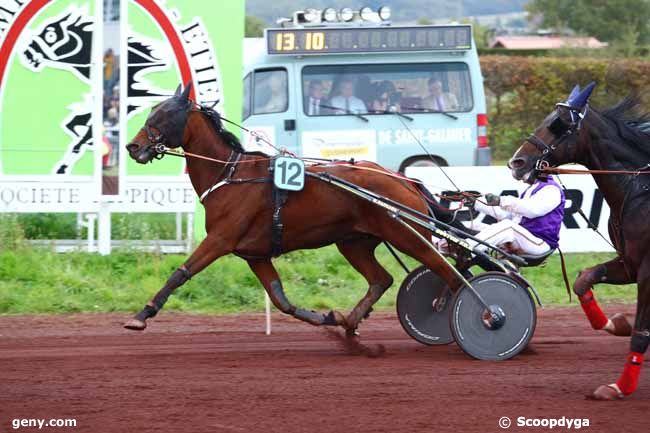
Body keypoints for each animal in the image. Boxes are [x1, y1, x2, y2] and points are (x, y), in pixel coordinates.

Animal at [124, 82, 464, 338]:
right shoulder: (255, 254)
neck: (230, 175)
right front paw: (326, 318)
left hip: (407, 237)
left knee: (449, 272)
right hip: (353, 242)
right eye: (153, 110)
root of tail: (404, 179)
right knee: (382, 279)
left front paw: (142, 314)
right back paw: (351, 321)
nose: (133, 146)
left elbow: (181, 273)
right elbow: (280, 299)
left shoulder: (221, 239)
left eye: (166, 113)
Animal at [508, 82, 644, 400]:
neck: (640, 190)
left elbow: (641, 335)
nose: (517, 162)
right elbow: (584, 279)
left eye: (558, 124)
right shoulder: (629, 263)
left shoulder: (647, 270)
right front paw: (616, 323)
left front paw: (618, 386)